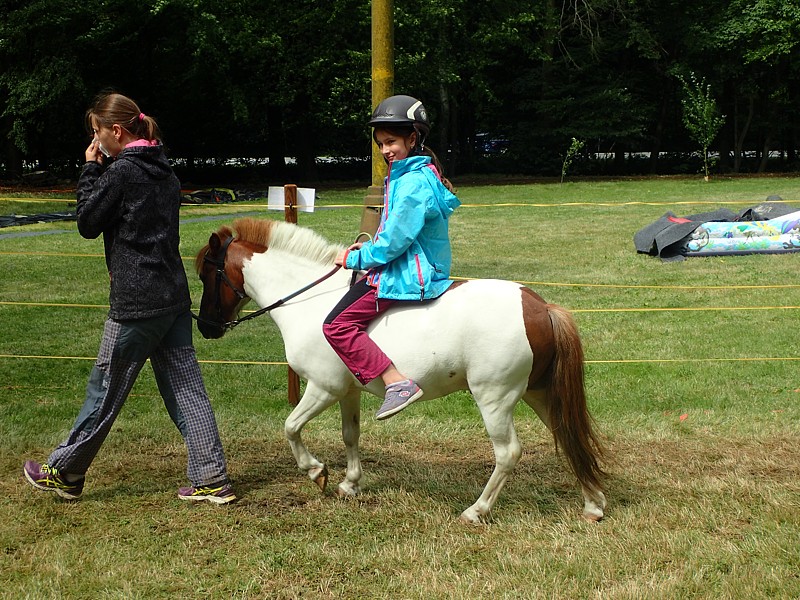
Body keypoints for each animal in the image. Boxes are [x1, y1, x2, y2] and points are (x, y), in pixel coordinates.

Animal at [193, 217, 607, 523]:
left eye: (206, 275)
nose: (206, 328)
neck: (309, 300)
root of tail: (539, 306)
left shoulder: (323, 388)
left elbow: (291, 427)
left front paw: (316, 471)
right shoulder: (348, 391)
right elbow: (350, 435)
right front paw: (349, 484)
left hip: (495, 398)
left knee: (508, 453)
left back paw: (476, 511)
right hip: (538, 393)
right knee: (568, 435)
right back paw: (593, 505)